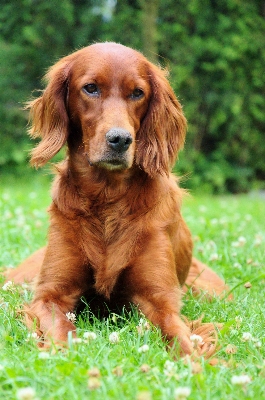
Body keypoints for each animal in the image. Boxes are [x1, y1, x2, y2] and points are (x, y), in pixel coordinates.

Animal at [3, 43, 227, 356]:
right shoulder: (49, 296)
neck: (107, 196)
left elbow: (181, 338)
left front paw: (198, 363)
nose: (120, 139)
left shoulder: (161, 302)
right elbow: (62, 332)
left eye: (137, 93)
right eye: (91, 88)